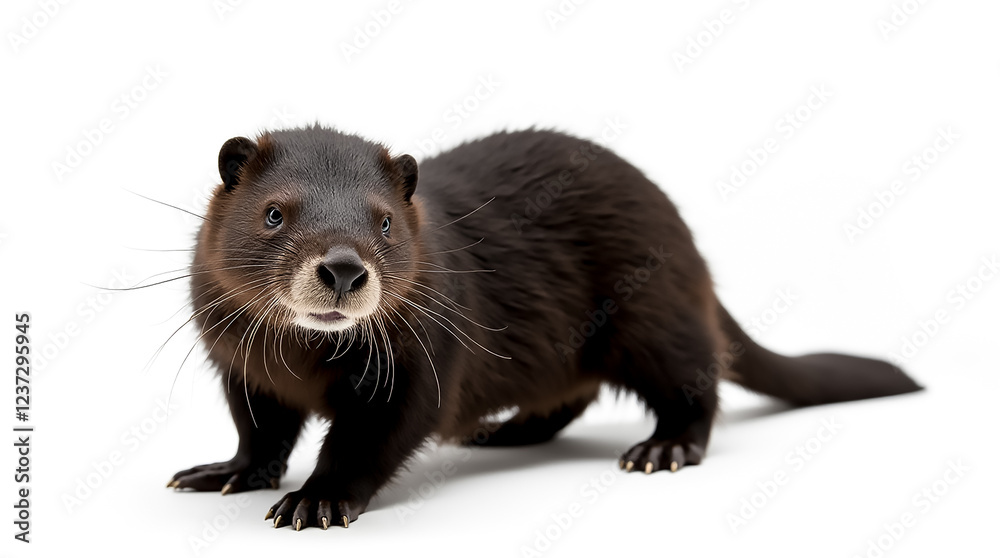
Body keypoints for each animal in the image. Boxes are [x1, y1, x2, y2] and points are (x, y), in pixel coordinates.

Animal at [167, 125, 921, 531]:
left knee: (696, 385)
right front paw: (223, 472)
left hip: (655, 318)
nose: (345, 268)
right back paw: (500, 431)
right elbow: (258, 430)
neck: (301, 363)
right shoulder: (242, 368)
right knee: (570, 396)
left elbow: (373, 439)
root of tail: (686, 242)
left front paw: (316, 500)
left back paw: (663, 448)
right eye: (275, 212)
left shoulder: (419, 366)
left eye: (382, 221)